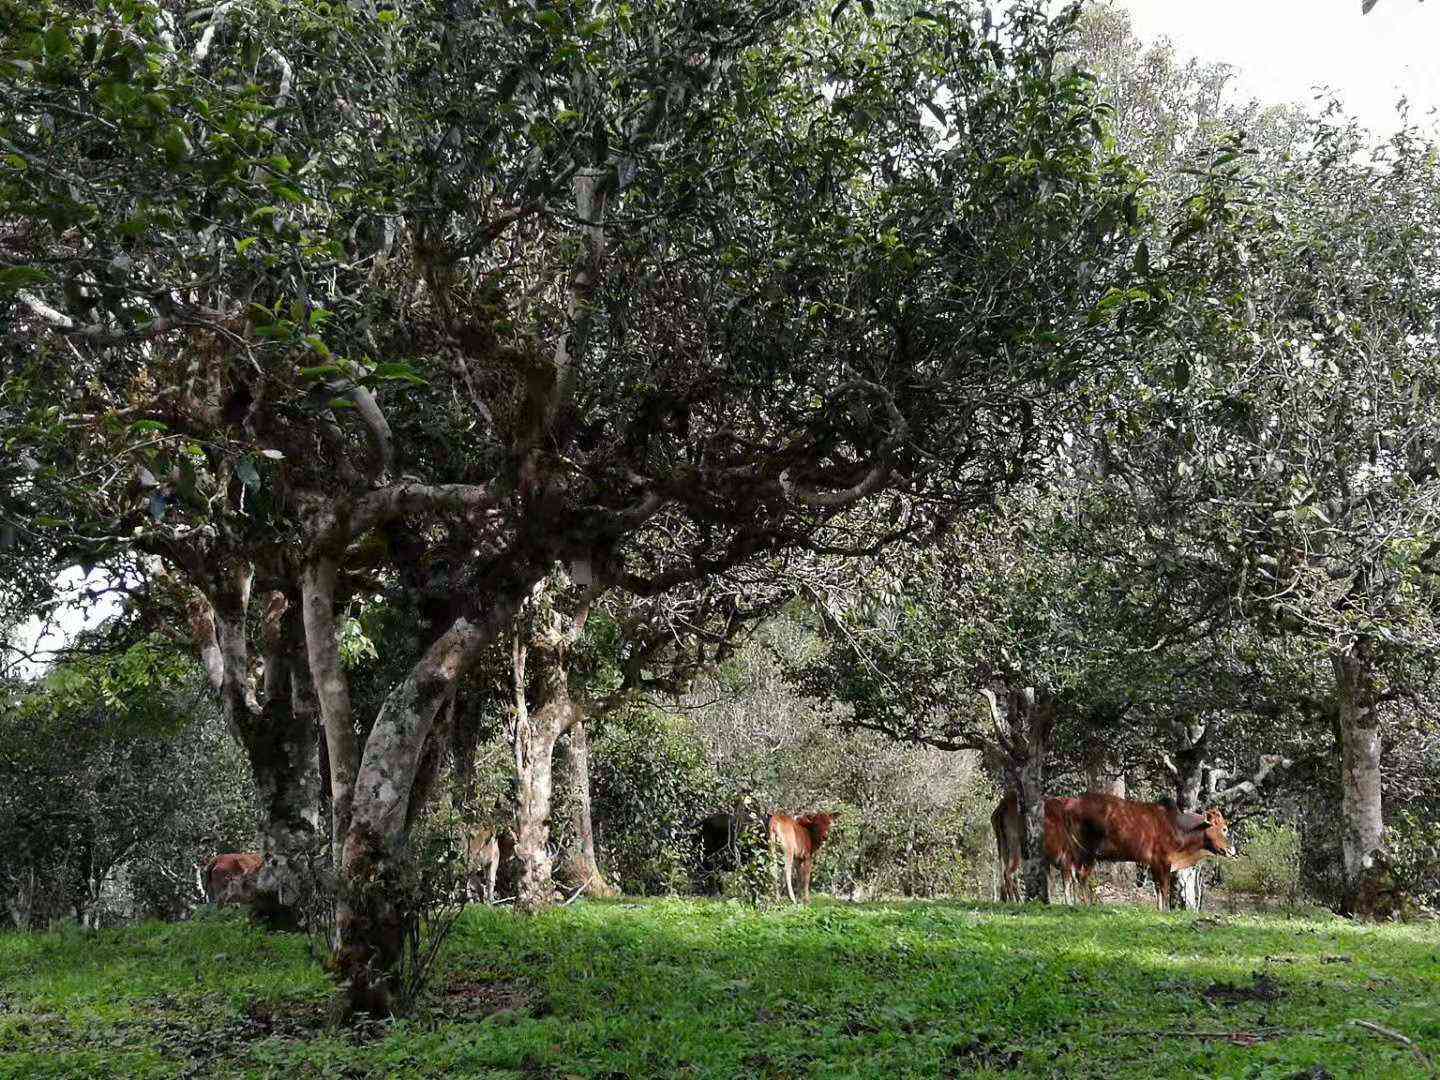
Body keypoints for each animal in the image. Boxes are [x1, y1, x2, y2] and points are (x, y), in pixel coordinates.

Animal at [1071, 794, 1238, 915]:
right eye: (1224, 829)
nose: (1232, 850)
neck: (1179, 828)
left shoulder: (1154, 864)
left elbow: (1158, 889)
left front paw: (1159, 910)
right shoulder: (1163, 862)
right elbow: (1164, 889)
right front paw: (1166, 911)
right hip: (1087, 854)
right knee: (1081, 877)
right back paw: (1084, 904)